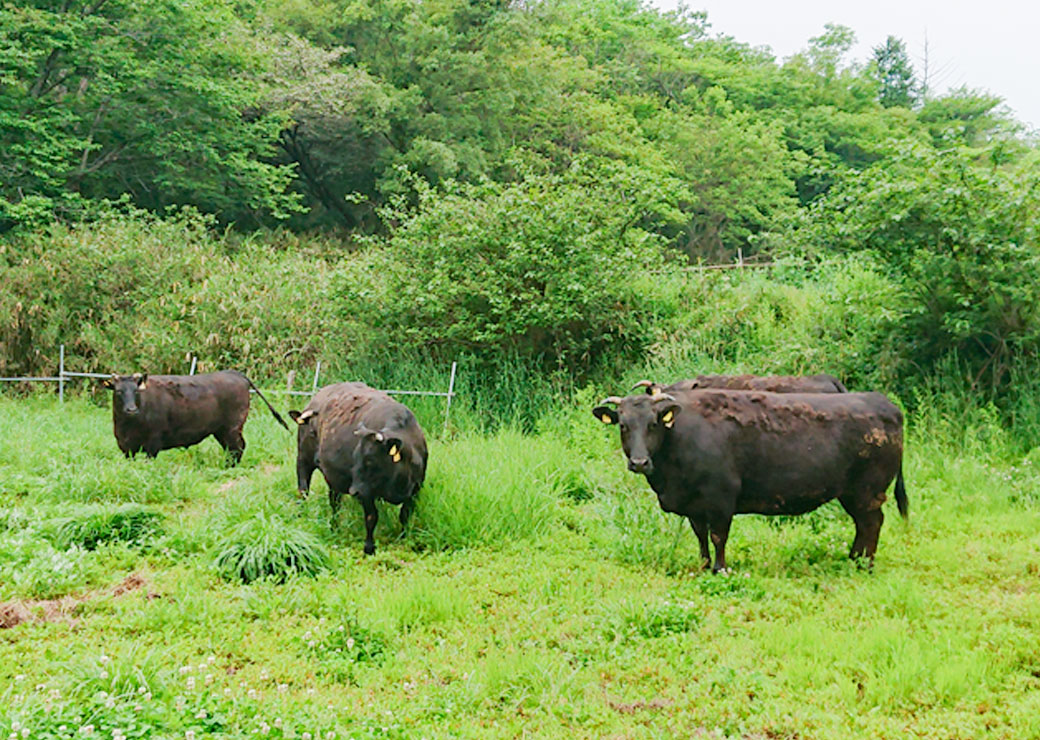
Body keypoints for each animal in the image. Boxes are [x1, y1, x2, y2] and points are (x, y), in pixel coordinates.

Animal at [103, 372, 289, 465]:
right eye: (118, 391)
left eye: (136, 391)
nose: (131, 409)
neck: (128, 427)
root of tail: (234, 373)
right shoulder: (126, 447)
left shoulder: (153, 443)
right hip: (221, 431)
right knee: (231, 449)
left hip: (232, 427)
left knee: (238, 447)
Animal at [289, 384, 426, 552]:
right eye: (355, 459)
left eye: (370, 460)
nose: (353, 491)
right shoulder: (366, 493)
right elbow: (371, 517)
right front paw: (369, 547)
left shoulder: (415, 489)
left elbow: (405, 515)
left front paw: (404, 538)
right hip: (303, 460)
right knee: (303, 491)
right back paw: (302, 518)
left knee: (334, 501)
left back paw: (334, 527)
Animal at [599, 386, 906, 573]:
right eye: (623, 426)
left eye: (653, 424)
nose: (639, 462)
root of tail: (884, 403)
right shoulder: (695, 506)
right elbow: (701, 537)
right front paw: (704, 565)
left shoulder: (721, 498)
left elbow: (718, 535)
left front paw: (720, 568)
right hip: (852, 493)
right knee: (862, 526)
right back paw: (853, 558)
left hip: (867, 491)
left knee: (872, 524)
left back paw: (864, 564)